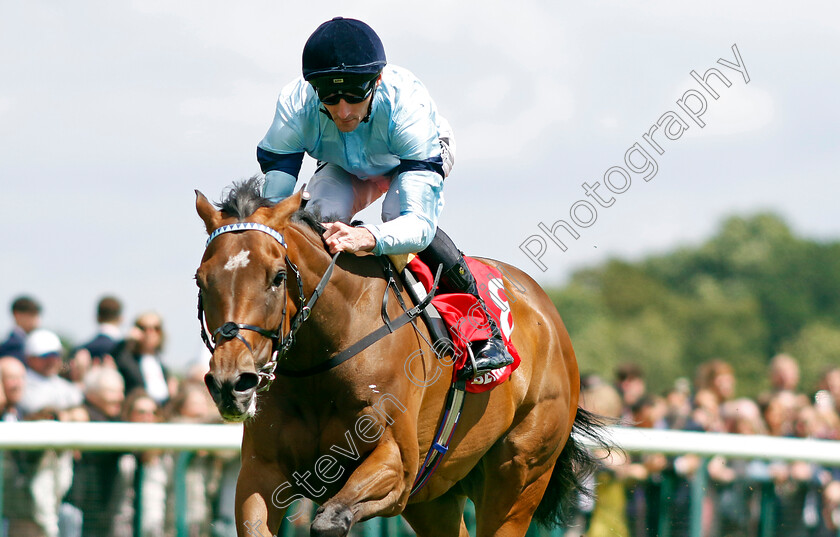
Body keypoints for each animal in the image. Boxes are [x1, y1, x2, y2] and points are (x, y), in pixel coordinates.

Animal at [195, 180, 604, 536]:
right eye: (201, 279)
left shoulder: (397, 464)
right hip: (435, 493)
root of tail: (548, 315)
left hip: (519, 474)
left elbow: (330, 520)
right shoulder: (260, 472)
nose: (231, 383)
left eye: (278, 277)